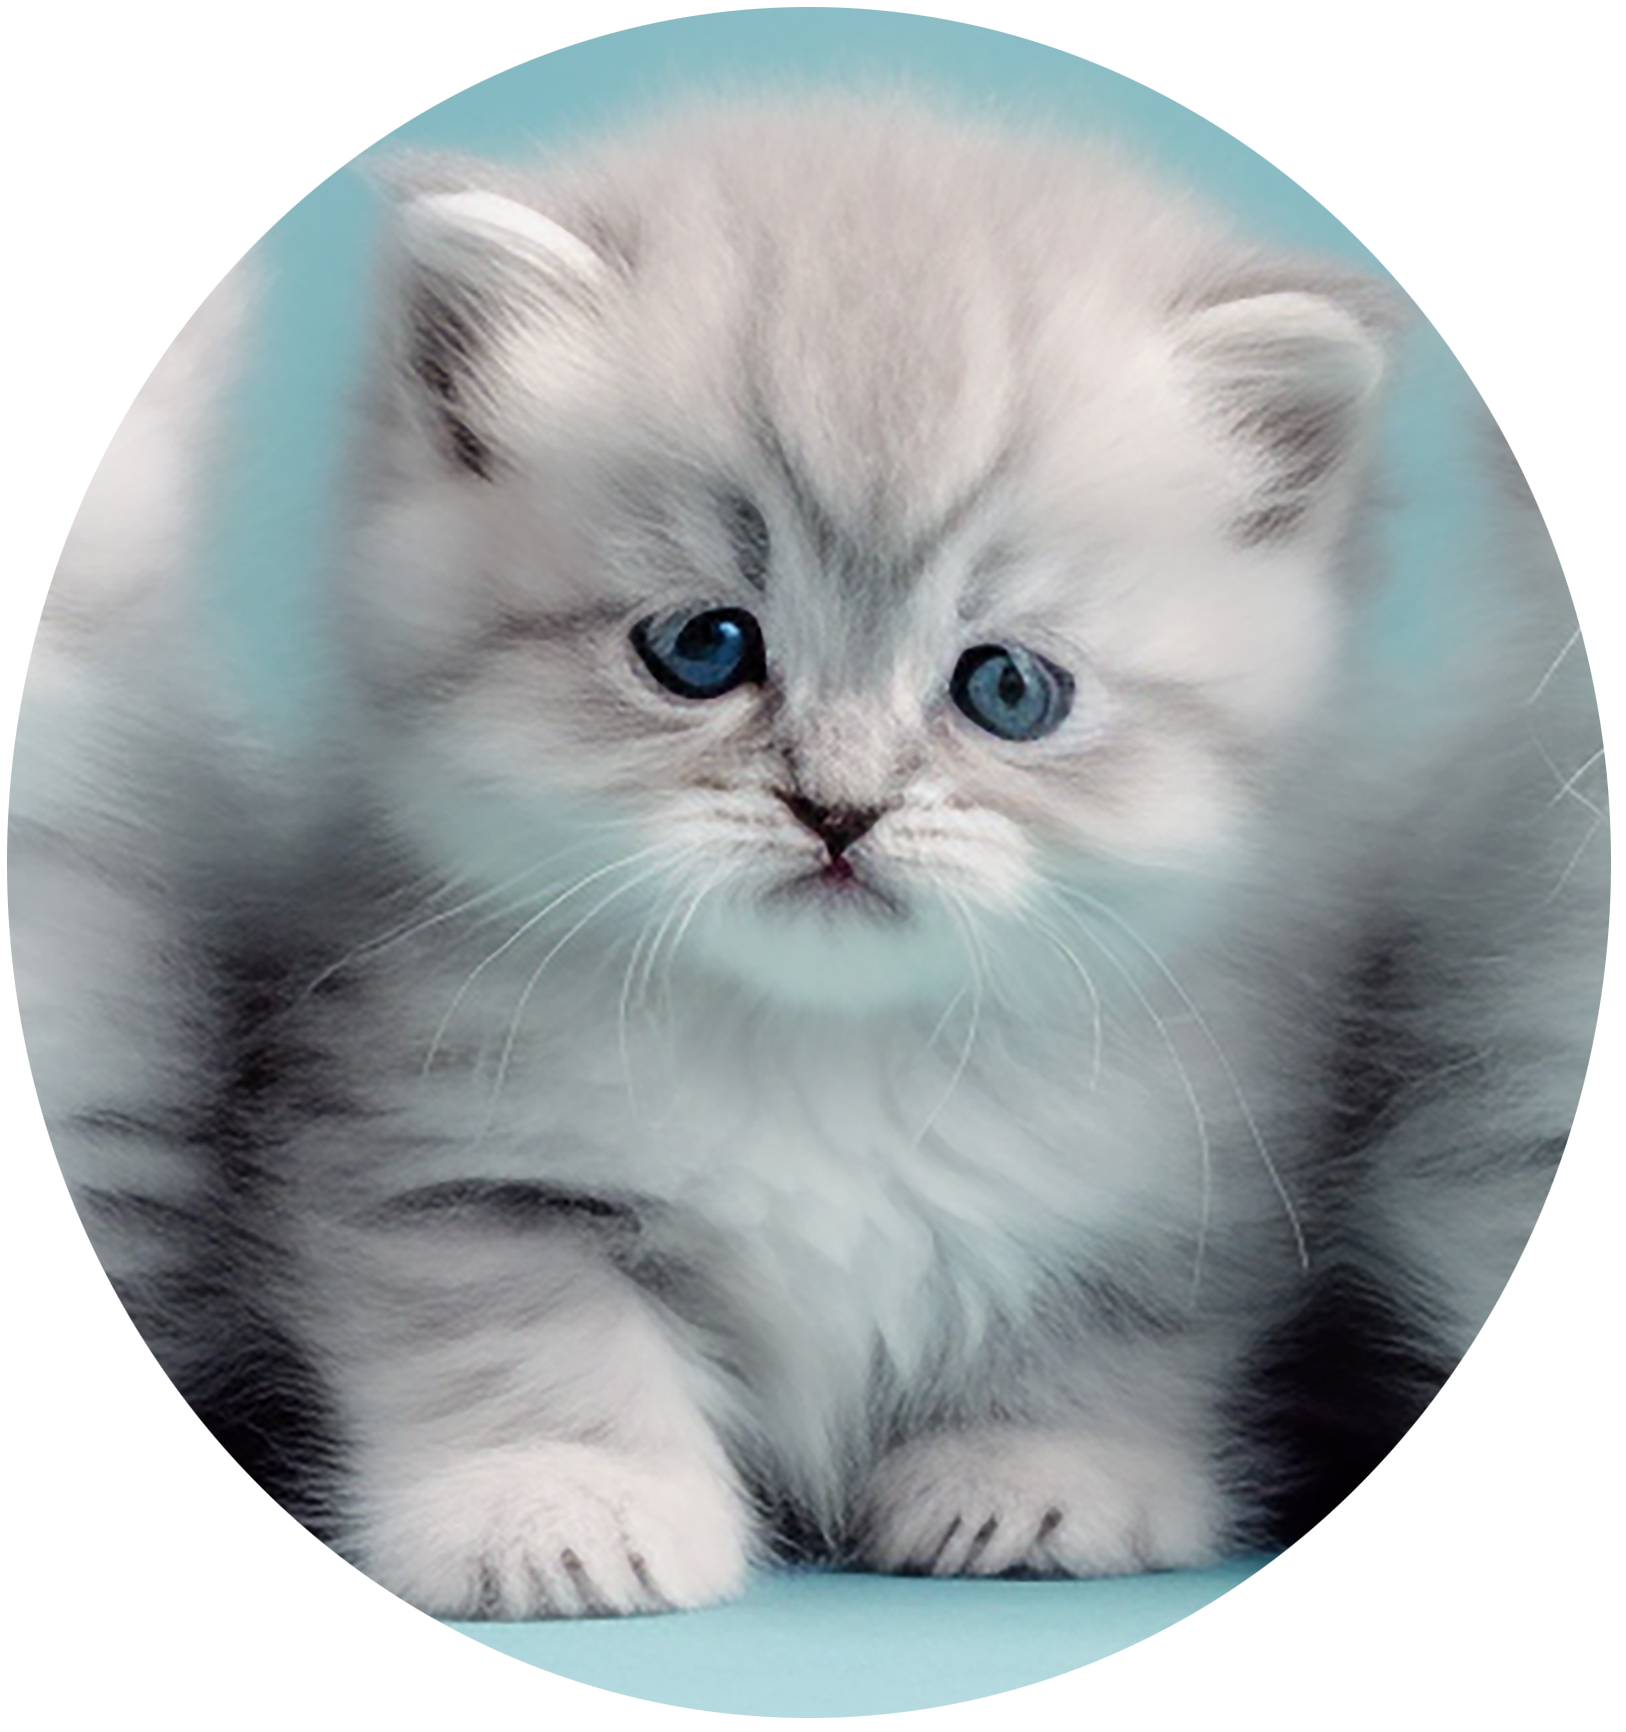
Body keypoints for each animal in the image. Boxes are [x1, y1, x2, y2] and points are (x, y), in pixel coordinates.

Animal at [19, 101, 1606, 1614]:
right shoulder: (446, 1153)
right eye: (702, 647)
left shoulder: (1177, 1189)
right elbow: (530, 1338)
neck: (831, 1058)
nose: (837, 807)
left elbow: (1094, 1342)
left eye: (1006, 689)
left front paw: (1029, 1484)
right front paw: (560, 1511)